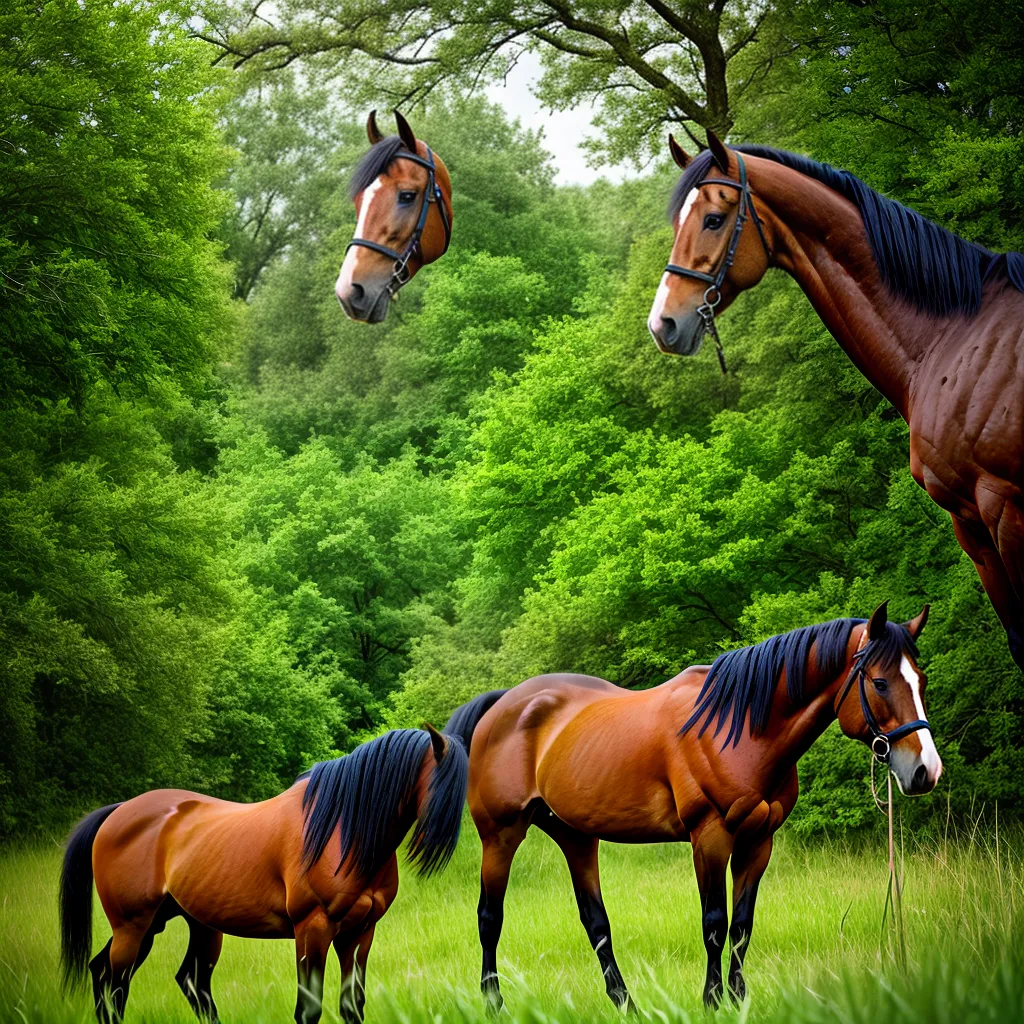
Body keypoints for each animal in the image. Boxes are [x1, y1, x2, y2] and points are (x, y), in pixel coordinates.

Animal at [59, 726, 467, 1024]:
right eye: (440, 782)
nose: (439, 842)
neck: (342, 830)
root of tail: (118, 811)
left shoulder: (359, 933)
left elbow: (352, 1006)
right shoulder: (312, 929)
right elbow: (309, 1010)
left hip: (184, 924)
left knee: (178, 981)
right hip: (133, 925)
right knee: (116, 983)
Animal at [445, 602, 941, 1010]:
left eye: (921, 681)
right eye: (880, 682)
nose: (925, 770)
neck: (738, 726)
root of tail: (503, 705)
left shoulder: (758, 842)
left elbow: (742, 926)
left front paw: (738, 1000)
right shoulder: (710, 838)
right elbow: (715, 924)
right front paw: (712, 1000)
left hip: (576, 836)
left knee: (595, 922)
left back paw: (627, 1004)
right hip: (500, 835)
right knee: (489, 918)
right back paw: (494, 1003)